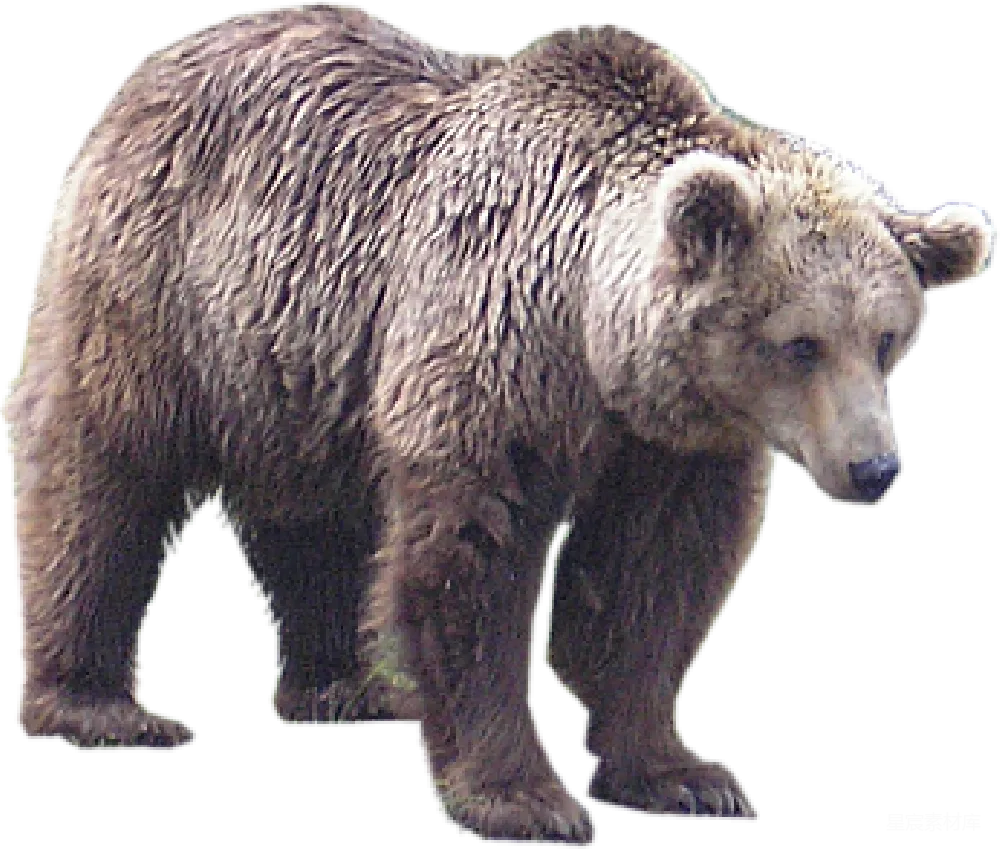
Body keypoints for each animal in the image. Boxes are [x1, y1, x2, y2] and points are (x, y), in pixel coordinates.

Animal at [10, 5, 992, 844]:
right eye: (800, 343)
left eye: (887, 337)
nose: (873, 466)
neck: (592, 339)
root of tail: (155, 69)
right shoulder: (489, 342)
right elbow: (475, 555)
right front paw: (522, 794)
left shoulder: (670, 439)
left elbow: (653, 574)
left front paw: (681, 773)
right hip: (166, 289)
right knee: (105, 476)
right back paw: (100, 703)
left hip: (300, 352)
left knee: (311, 509)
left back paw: (347, 683)